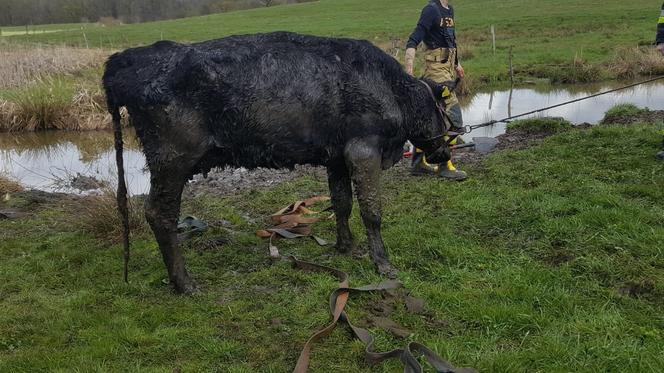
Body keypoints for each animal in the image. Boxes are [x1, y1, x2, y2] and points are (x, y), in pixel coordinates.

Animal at [104, 32, 454, 292]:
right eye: (443, 109)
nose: (445, 154)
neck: (392, 89)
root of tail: (124, 59)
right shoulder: (363, 148)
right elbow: (372, 211)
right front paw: (383, 263)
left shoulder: (337, 156)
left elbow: (342, 203)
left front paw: (344, 246)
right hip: (172, 159)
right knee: (159, 214)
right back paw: (184, 283)